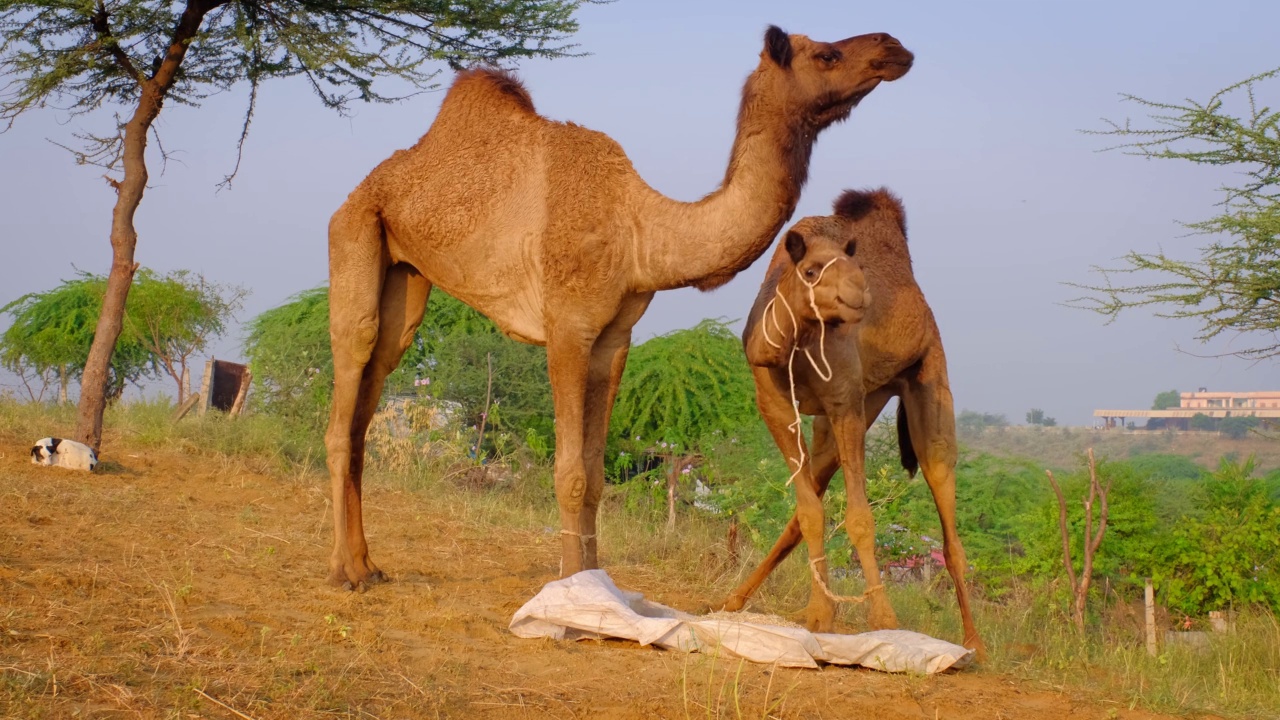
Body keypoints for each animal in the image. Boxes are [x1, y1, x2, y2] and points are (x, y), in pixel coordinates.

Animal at [325, 28, 916, 589]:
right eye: (826, 54)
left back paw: (368, 565)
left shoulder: (613, 337)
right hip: (355, 229)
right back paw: (344, 572)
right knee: (351, 368)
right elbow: (569, 474)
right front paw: (567, 594)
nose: (894, 47)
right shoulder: (567, 327)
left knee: (372, 389)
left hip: (407, 274)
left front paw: (592, 585)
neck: (641, 232)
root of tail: (367, 186)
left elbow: (594, 475)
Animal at [727, 189, 983, 655]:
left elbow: (861, 517)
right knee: (807, 503)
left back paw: (975, 643)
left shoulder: (844, 400)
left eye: (855, 268)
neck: (791, 345)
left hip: (925, 378)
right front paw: (819, 614)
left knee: (947, 510)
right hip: (863, 401)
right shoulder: (775, 405)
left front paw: (883, 618)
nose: (859, 297)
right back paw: (737, 598)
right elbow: (809, 511)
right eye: (811, 270)